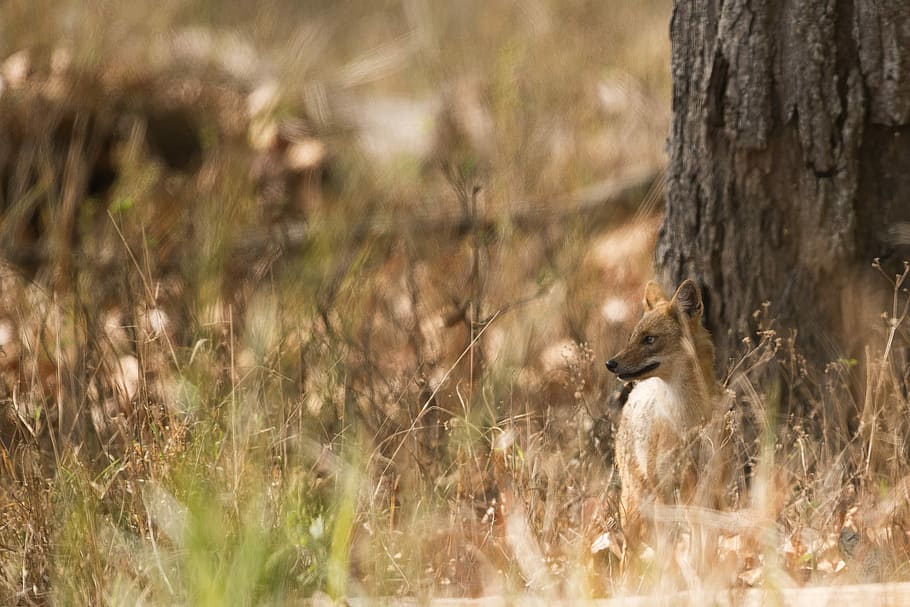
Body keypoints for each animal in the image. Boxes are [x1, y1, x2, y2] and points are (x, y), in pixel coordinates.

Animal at [605, 279, 730, 544]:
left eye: (649, 339)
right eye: (632, 338)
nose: (610, 364)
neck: (689, 417)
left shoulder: (710, 491)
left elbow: (706, 546)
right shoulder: (666, 491)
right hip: (637, 501)